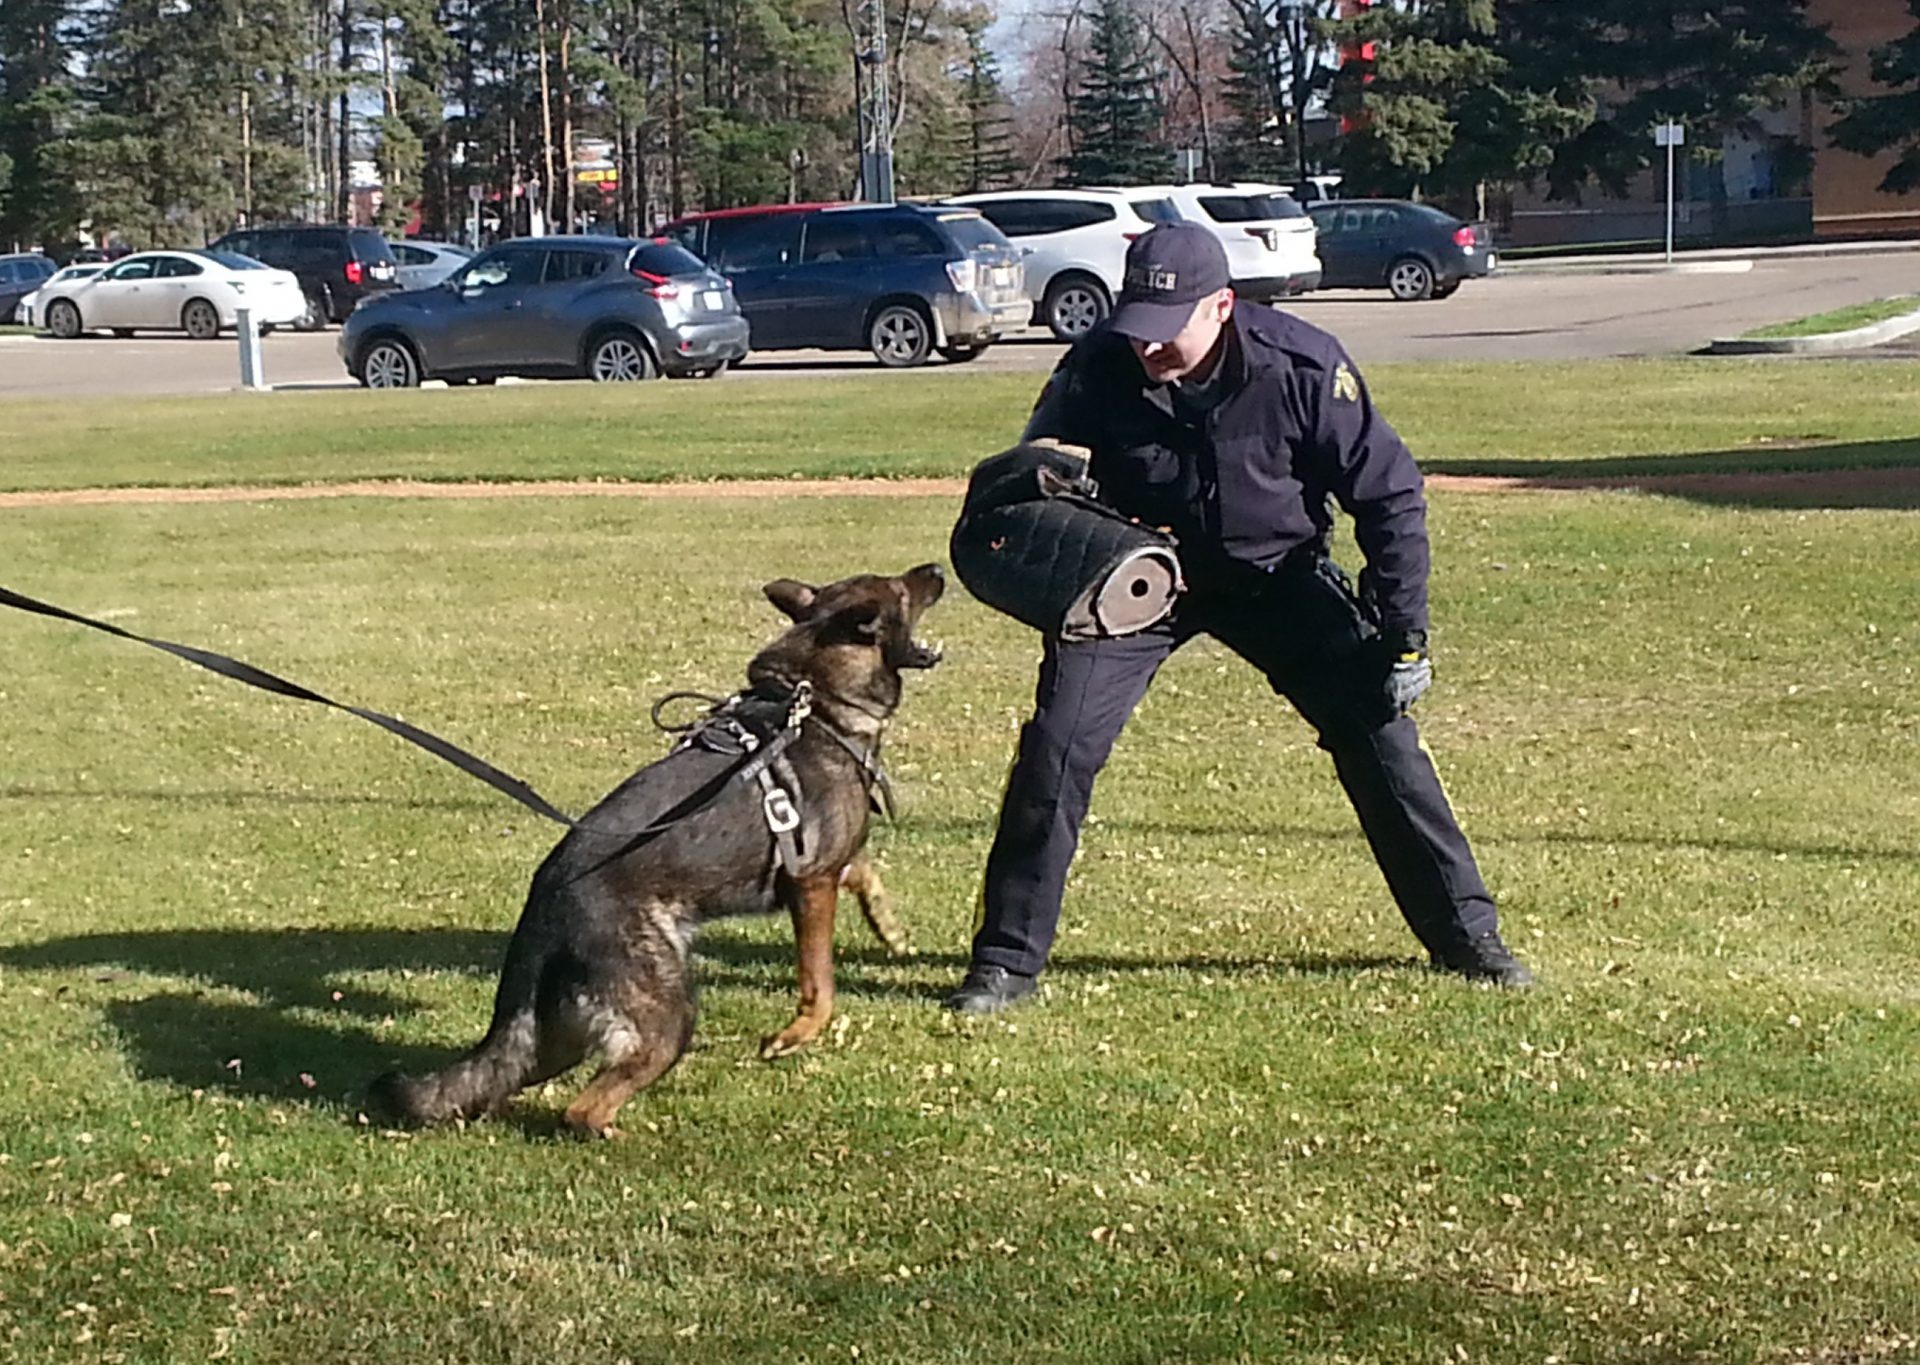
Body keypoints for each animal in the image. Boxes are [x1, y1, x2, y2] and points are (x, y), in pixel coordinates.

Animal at [366, 560, 944, 1136]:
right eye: (901, 588)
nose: (936, 567)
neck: (816, 704)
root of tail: (542, 909)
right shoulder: (811, 883)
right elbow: (820, 985)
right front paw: (791, 1036)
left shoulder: (831, 864)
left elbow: (865, 872)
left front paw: (891, 931)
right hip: (669, 1011)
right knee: (582, 1107)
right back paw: (614, 1133)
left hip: (554, 1040)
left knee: (498, 1083)